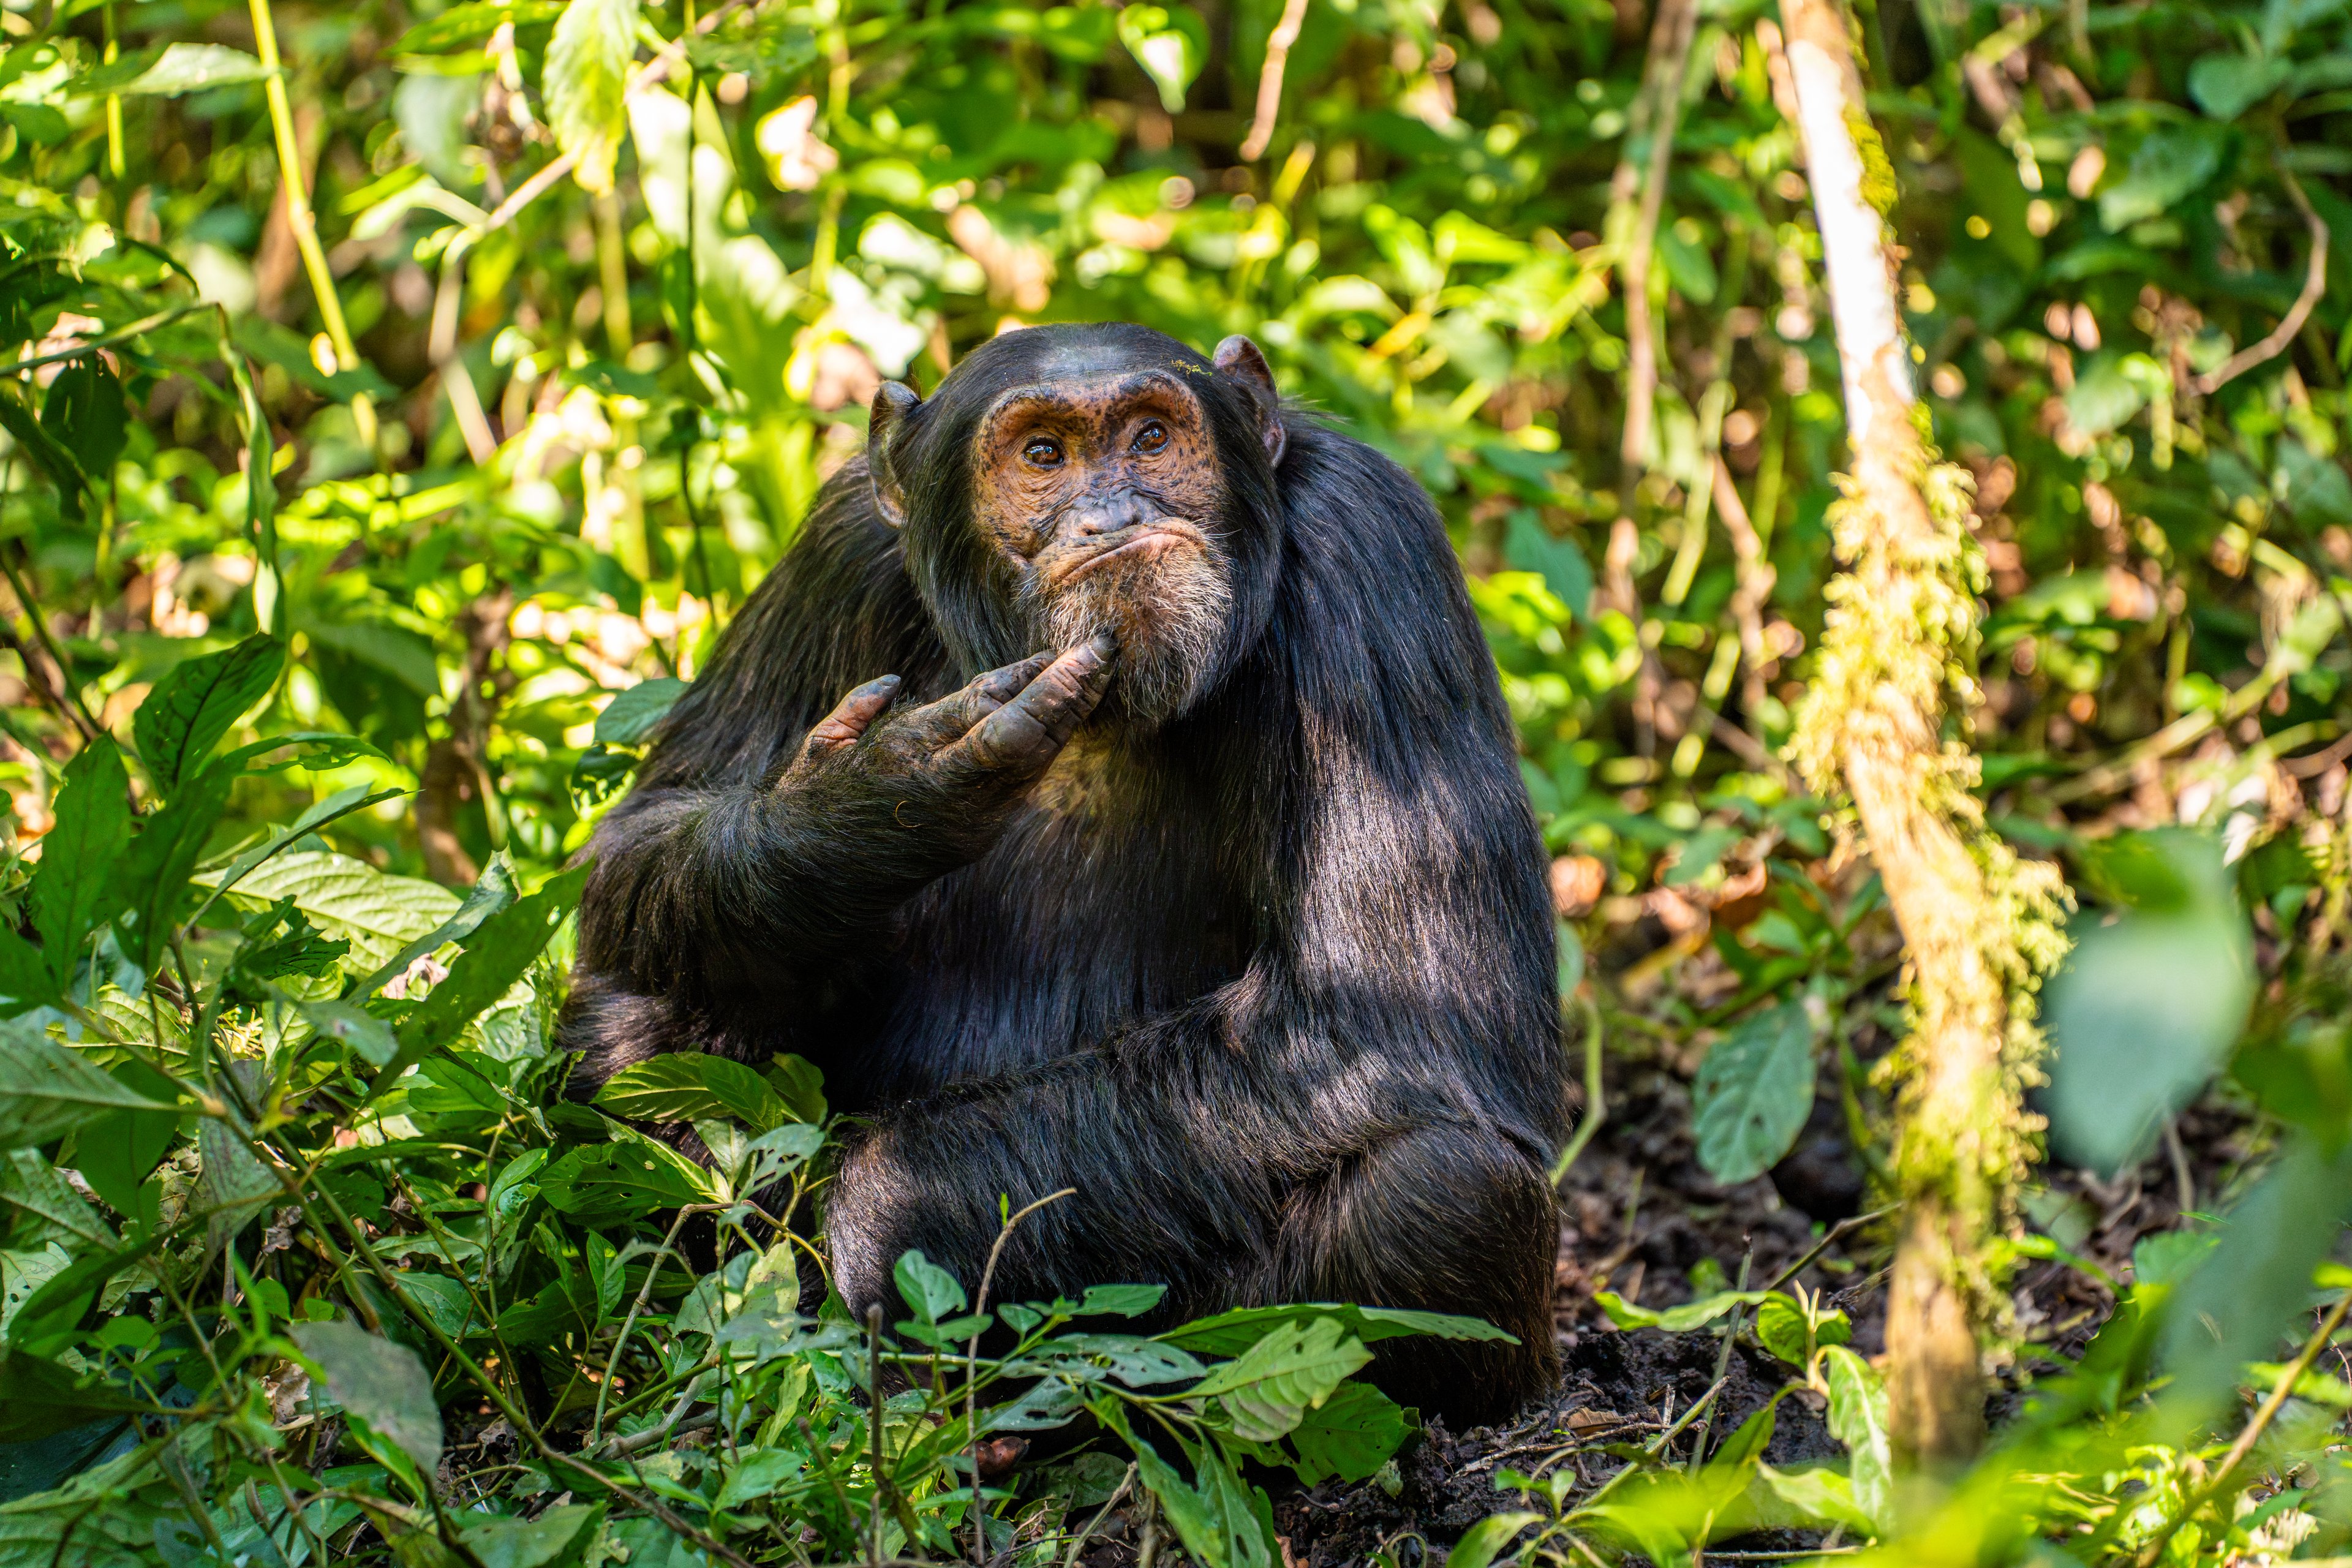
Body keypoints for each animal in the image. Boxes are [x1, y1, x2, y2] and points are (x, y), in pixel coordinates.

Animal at [559, 319, 1571, 1420]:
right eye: (1042, 455)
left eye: (1152, 436)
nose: (1113, 514)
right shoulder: (836, 549)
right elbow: (646, 825)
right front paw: (860, 809)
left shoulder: (1370, 546)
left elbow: (1392, 1010)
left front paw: (889, 1216)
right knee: (637, 1019)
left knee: (1442, 1190)